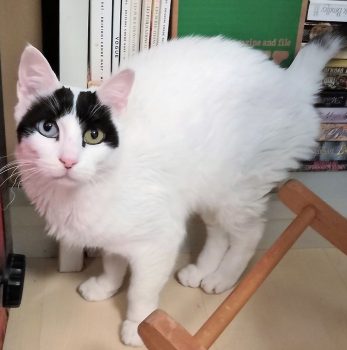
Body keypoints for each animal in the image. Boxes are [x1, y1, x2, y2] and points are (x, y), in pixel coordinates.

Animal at [13, 34, 346, 346]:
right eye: (48, 129)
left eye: (93, 136)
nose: (68, 160)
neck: (81, 194)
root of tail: (288, 82)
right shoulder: (114, 232)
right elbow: (112, 261)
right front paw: (105, 286)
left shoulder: (160, 240)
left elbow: (141, 291)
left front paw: (138, 325)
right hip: (210, 190)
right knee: (218, 233)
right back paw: (201, 271)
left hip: (237, 192)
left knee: (249, 234)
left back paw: (222, 278)